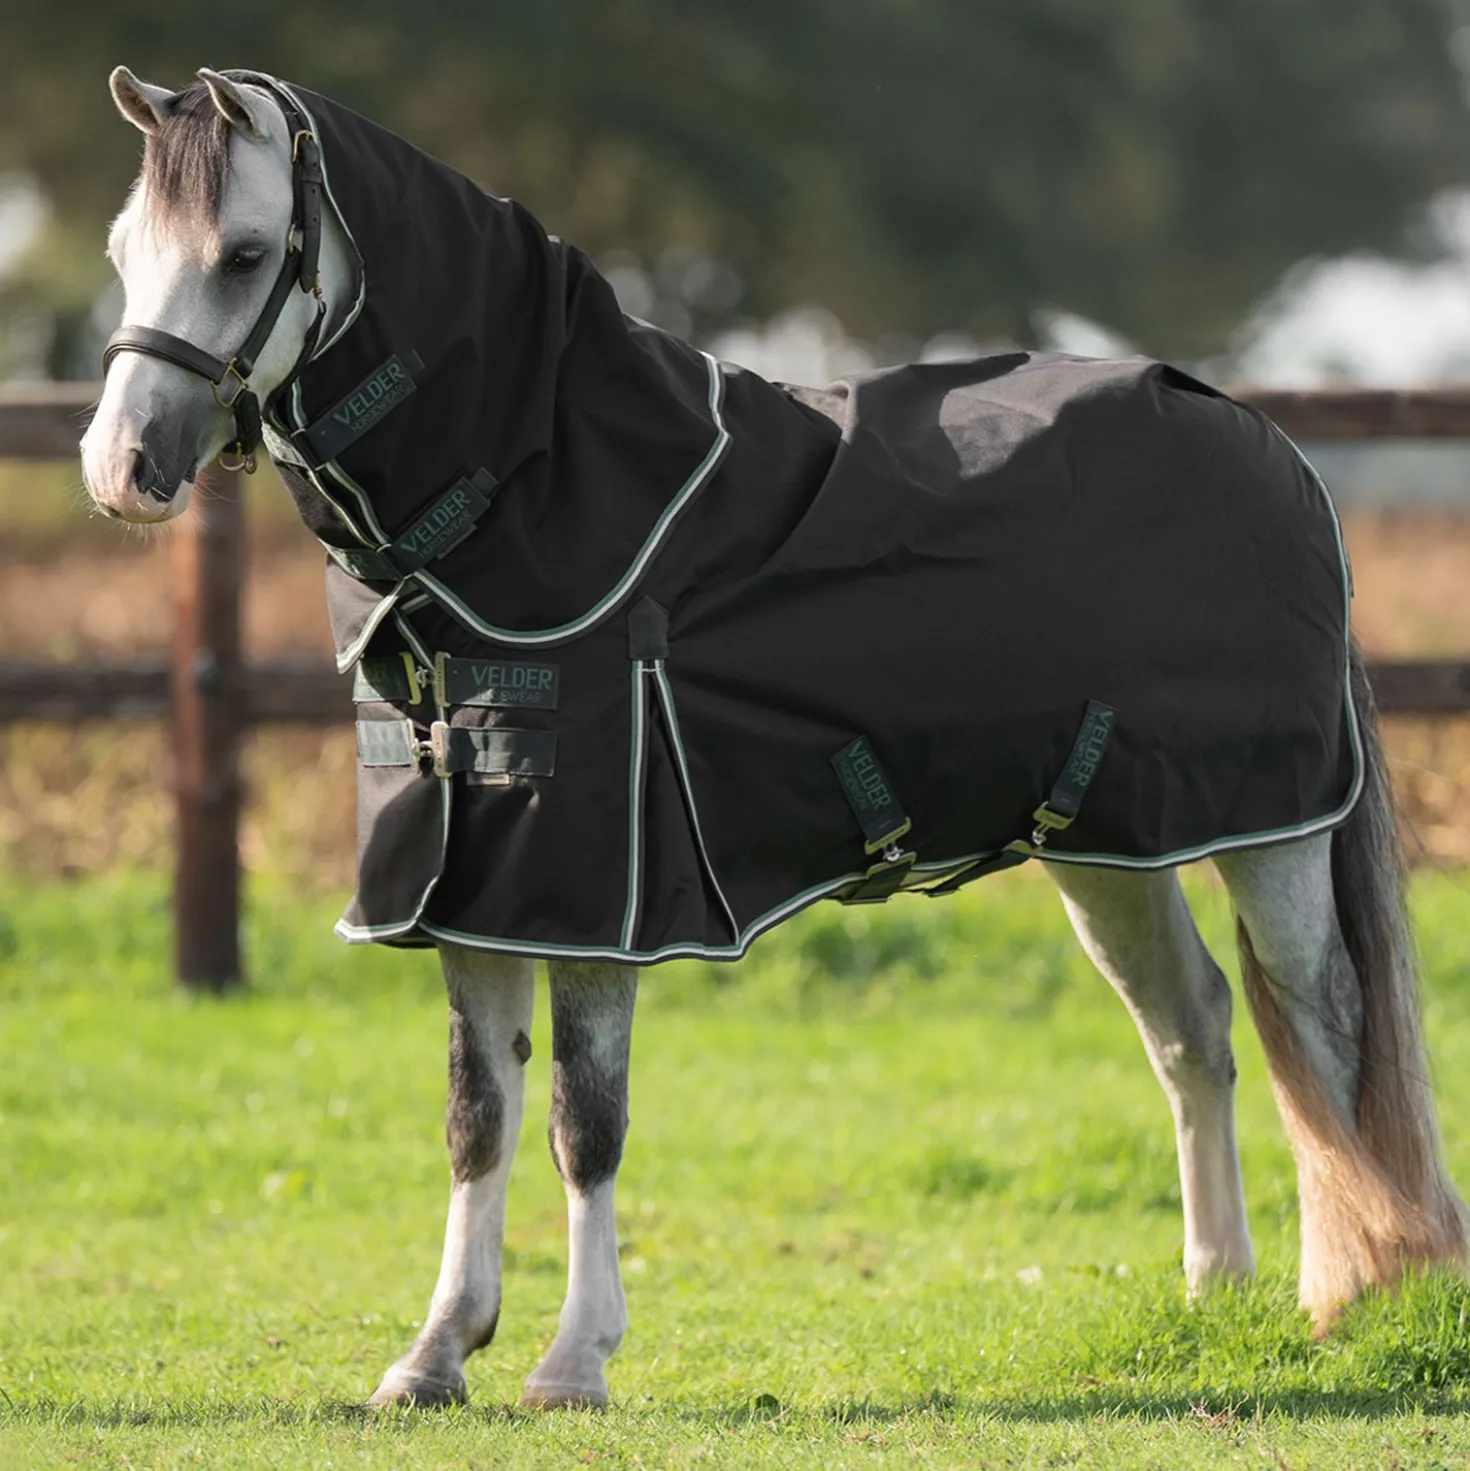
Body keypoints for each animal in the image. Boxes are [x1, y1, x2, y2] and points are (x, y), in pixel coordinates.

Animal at [80, 66, 1467, 1411]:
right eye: (121, 248)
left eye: (245, 254)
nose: (119, 468)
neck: (545, 492)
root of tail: (1262, 437)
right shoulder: (474, 884)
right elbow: (479, 1118)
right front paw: (432, 1357)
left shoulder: (597, 895)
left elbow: (584, 1121)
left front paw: (573, 1362)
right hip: (1107, 845)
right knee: (1196, 1028)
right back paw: (1215, 1290)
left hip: (1271, 832)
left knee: (1326, 1026)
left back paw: (1358, 1292)